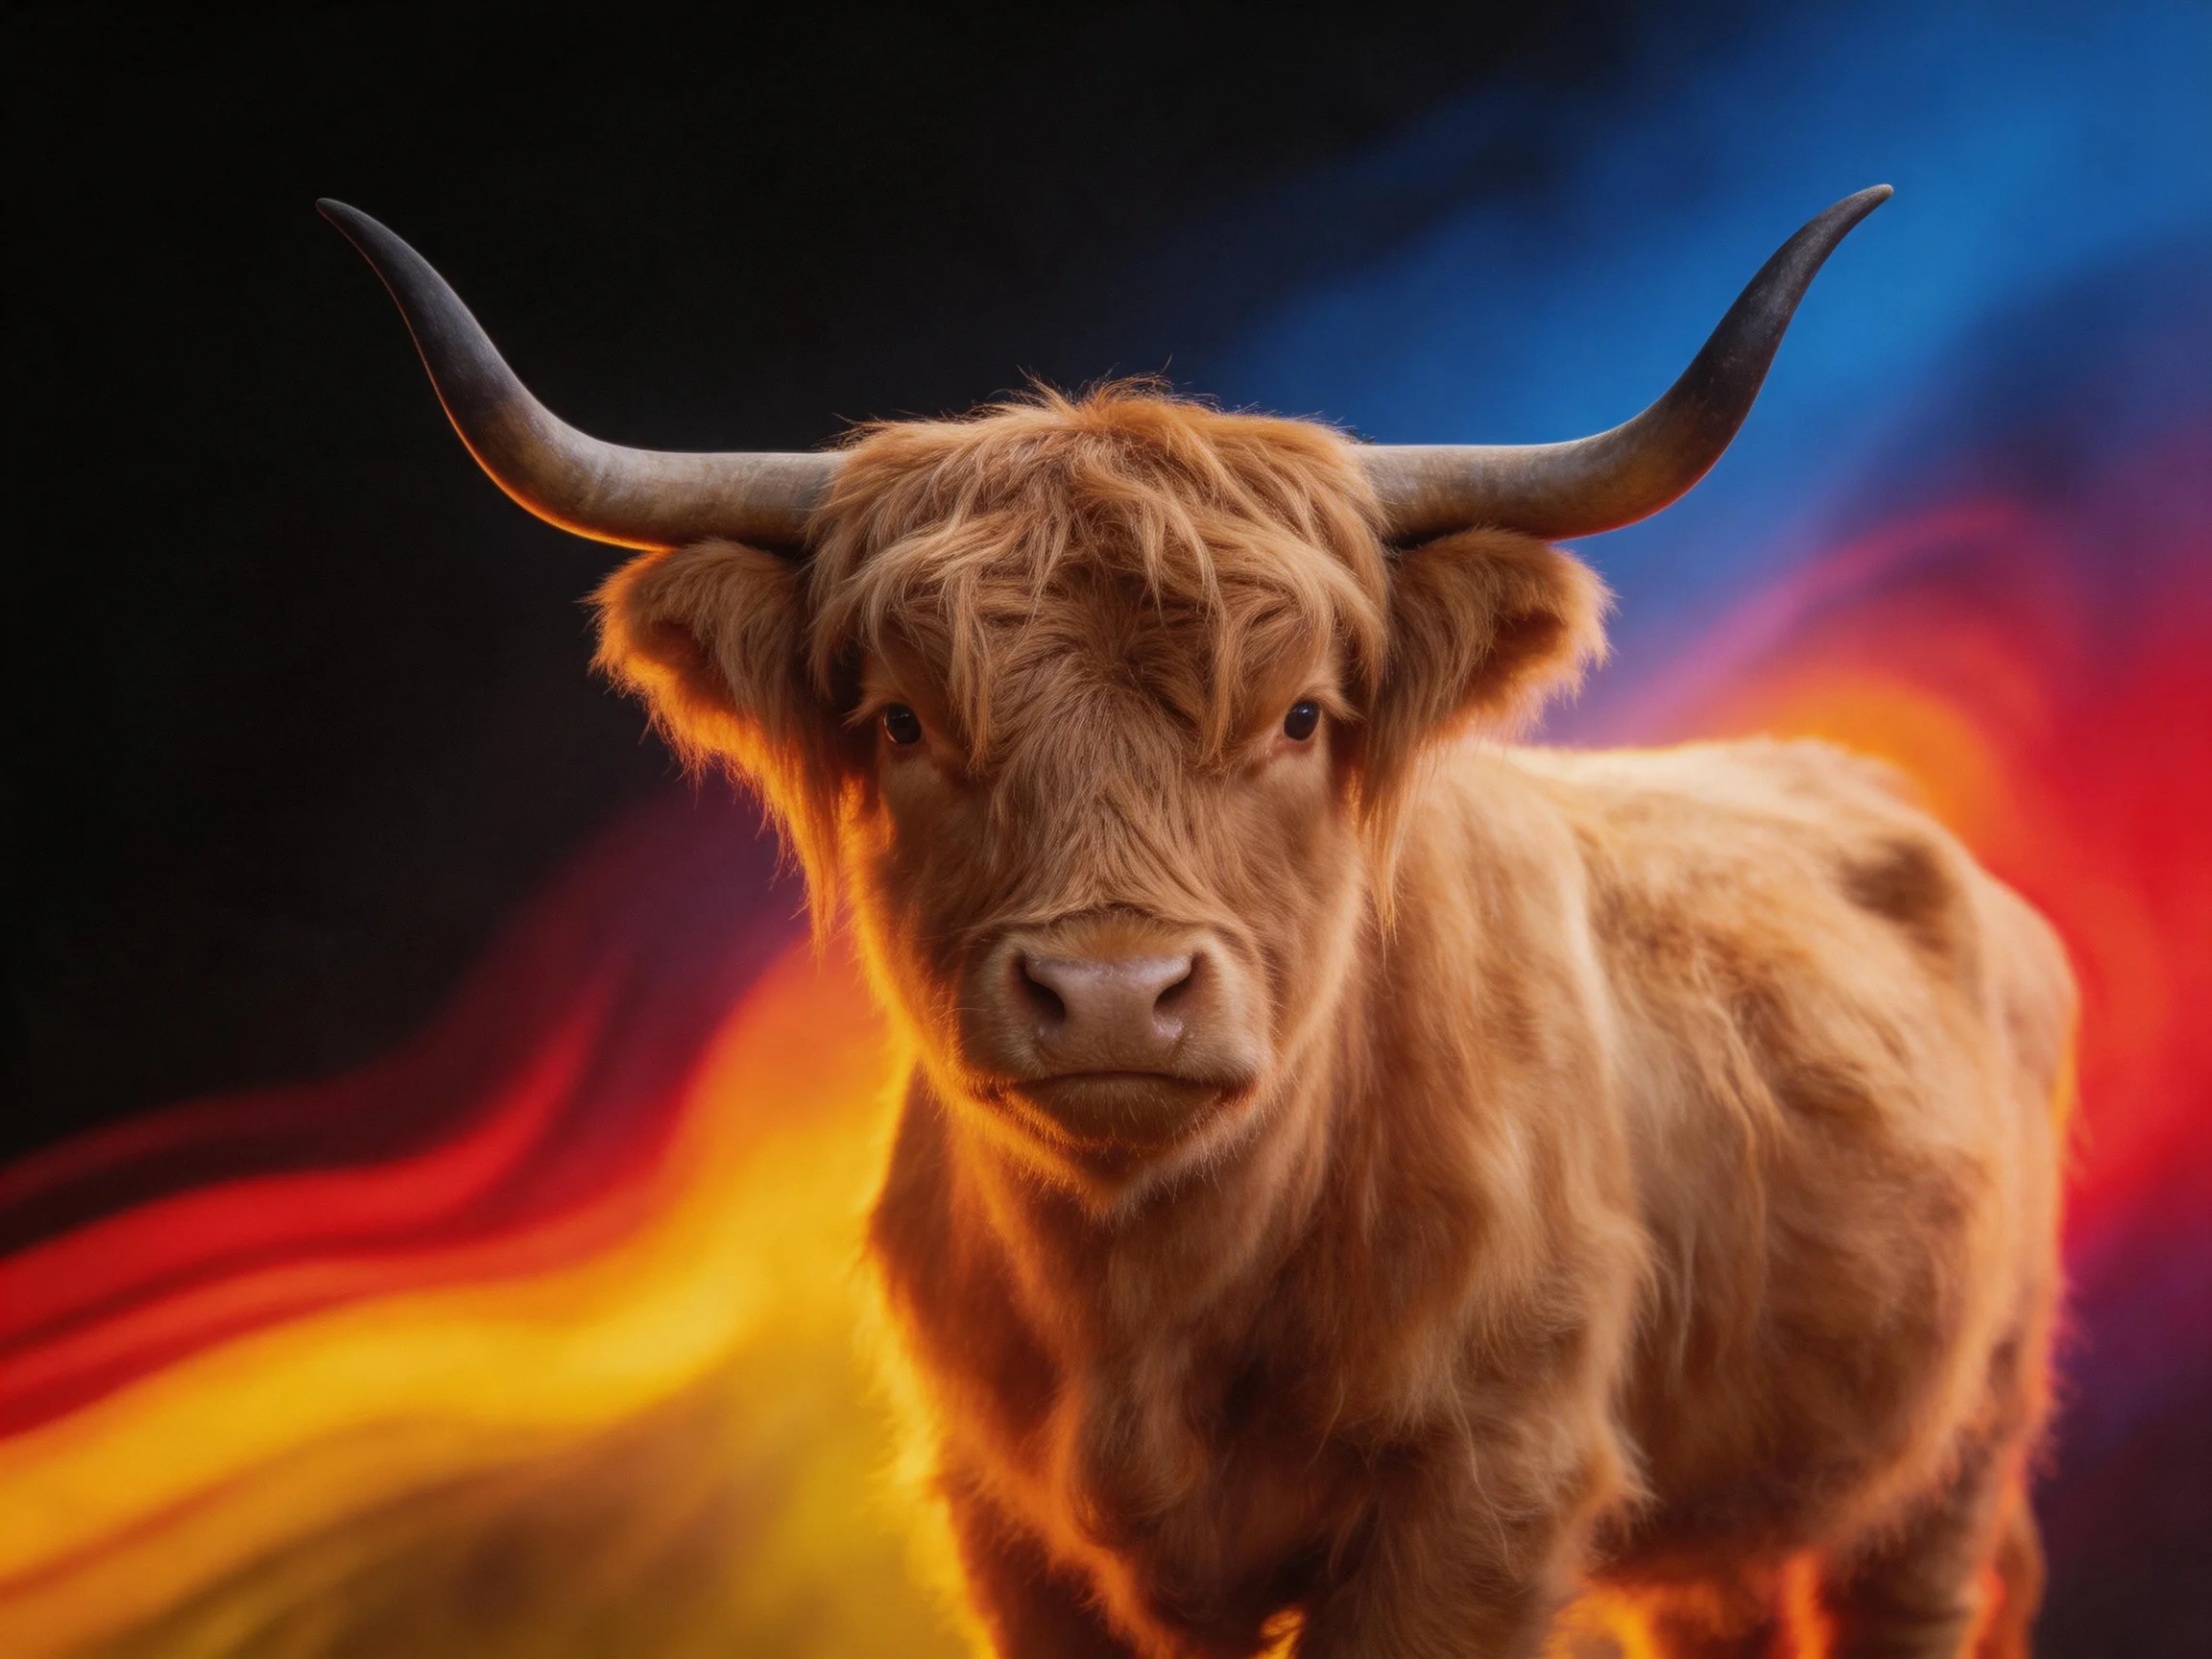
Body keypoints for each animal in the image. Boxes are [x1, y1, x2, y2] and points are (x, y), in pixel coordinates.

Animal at [324, 186, 2073, 1658]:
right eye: (899, 721)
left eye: (1299, 714)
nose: (1111, 991)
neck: (1149, 1314)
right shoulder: (1012, 1527)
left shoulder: (1483, 1498)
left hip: (1948, 1454)